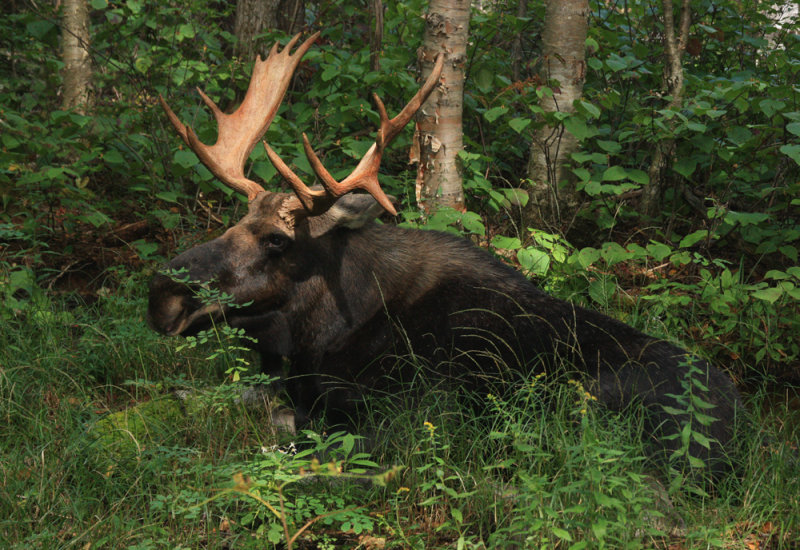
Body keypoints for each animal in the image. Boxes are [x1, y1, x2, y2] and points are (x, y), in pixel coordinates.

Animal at [148, 33, 744, 474]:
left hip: (579, 402)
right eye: (236, 221)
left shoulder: (392, 409)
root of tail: (736, 430)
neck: (317, 332)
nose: (163, 292)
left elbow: (288, 427)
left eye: (277, 240)